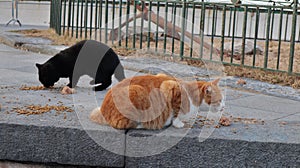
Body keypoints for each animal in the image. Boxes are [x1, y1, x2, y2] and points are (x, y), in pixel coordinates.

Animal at [89, 73, 223, 130]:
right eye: (220, 100)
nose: (224, 106)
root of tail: (103, 110)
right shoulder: (170, 87)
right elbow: (176, 112)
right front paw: (177, 123)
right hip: (136, 91)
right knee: (124, 124)